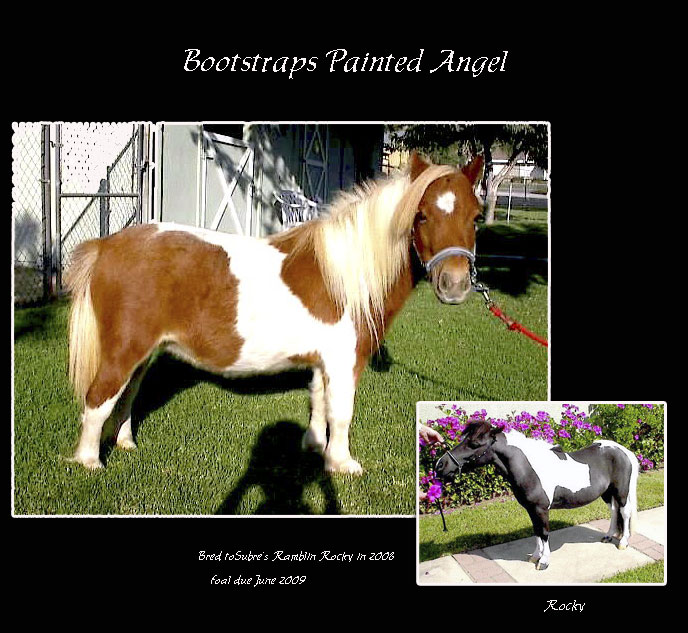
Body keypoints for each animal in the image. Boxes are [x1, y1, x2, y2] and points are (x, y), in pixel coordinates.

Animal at [65, 152, 484, 474]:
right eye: (422, 215)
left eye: (476, 216)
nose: (455, 284)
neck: (346, 273)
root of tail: (107, 246)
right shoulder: (344, 360)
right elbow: (341, 412)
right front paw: (342, 464)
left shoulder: (322, 362)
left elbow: (319, 402)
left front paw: (315, 448)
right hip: (124, 350)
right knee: (99, 397)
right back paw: (89, 461)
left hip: (144, 353)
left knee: (127, 395)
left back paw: (125, 444)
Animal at [434, 419, 639, 570]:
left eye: (474, 443)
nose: (440, 465)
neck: (529, 468)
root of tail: (624, 451)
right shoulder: (531, 509)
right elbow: (537, 532)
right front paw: (534, 557)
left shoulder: (541, 509)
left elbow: (545, 533)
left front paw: (544, 561)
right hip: (607, 493)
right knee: (614, 511)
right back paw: (608, 536)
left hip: (621, 491)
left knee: (624, 512)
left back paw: (623, 542)